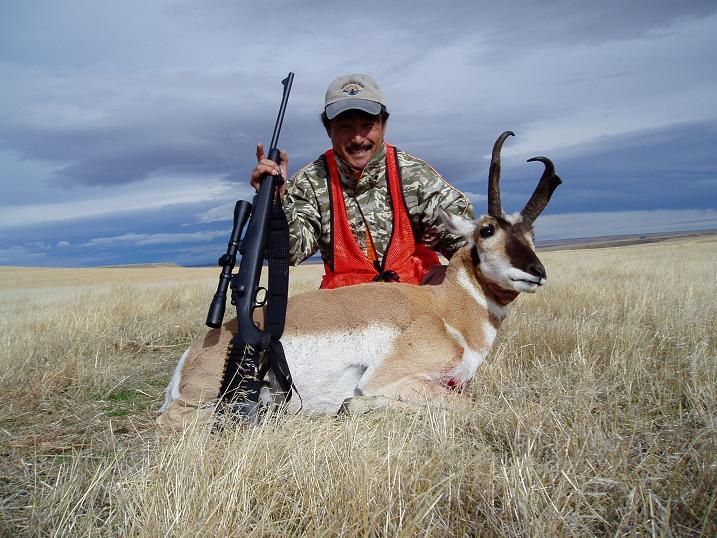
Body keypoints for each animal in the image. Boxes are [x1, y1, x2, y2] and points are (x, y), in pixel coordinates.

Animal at [157, 131, 562, 426]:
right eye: (487, 230)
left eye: (532, 234)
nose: (536, 272)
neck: (446, 310)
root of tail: (194, 353)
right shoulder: (385, 379)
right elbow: (466, 405)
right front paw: (350, 407)